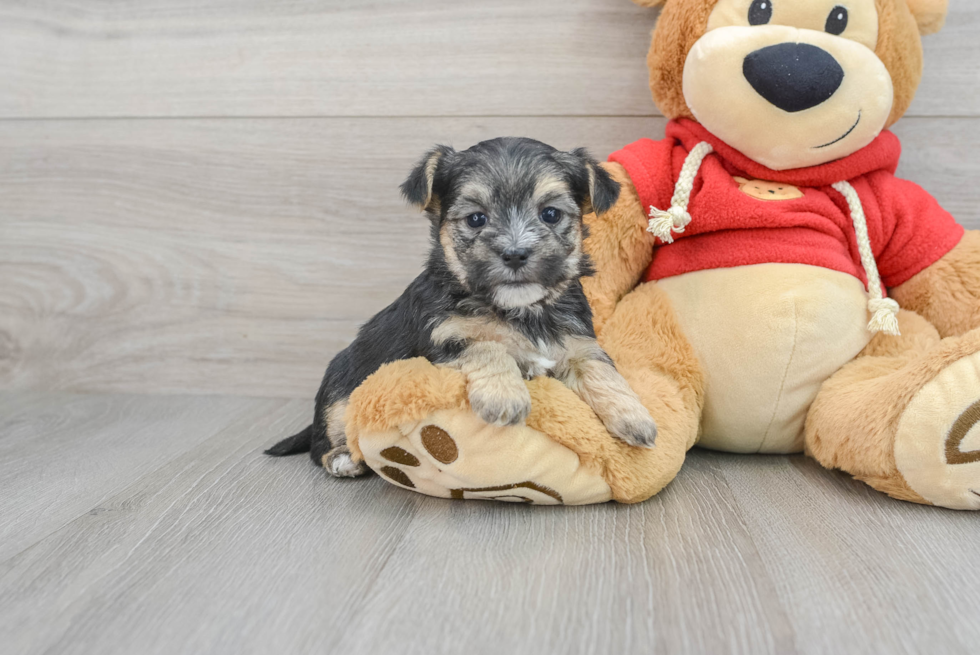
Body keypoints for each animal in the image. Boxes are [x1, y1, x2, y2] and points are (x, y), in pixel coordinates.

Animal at [264, 138, 656, 476]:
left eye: (550, 214)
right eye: (476, 219)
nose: (515, 254)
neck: (521, 310)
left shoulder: (578, 344)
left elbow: (601, 370)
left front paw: (634, 416)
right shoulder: (446, 337)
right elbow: (487, 346)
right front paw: (504, 397)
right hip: (340, 390)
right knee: (324, 440)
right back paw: (343, 458)